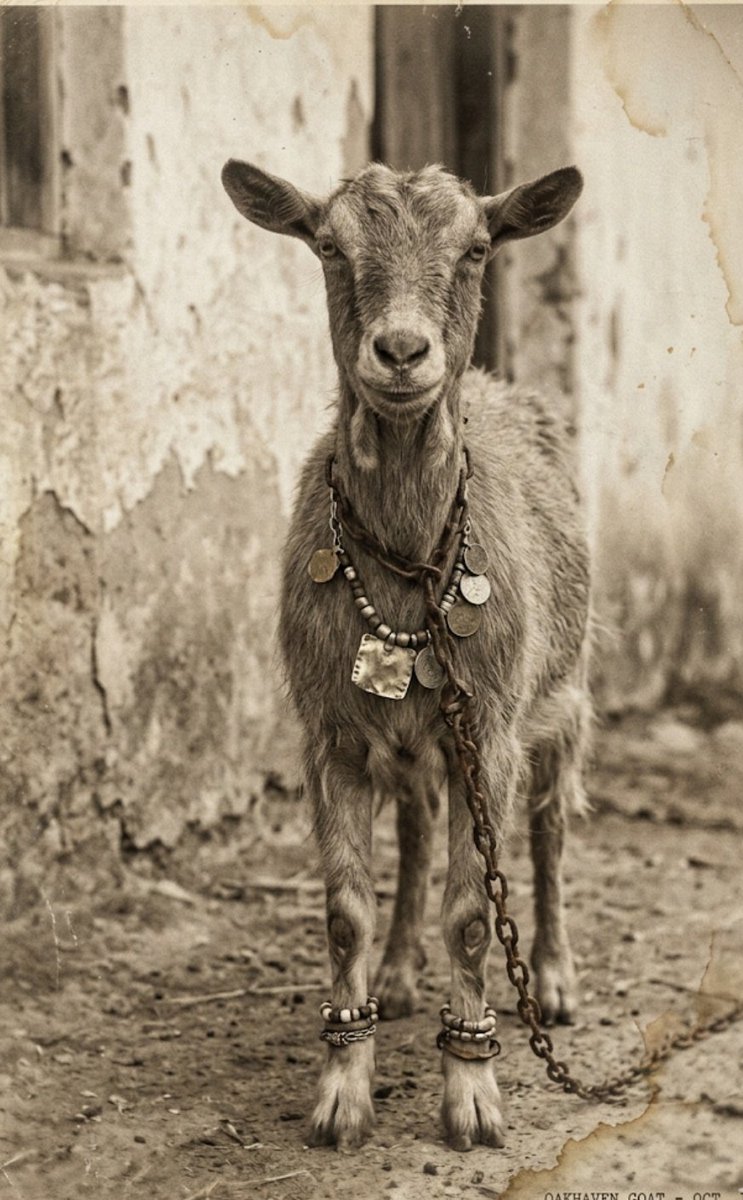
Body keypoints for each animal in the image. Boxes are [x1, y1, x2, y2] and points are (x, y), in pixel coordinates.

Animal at [222, 158, 590, 1151]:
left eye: (476, 248)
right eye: (328, 244)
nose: (399, 352)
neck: (403, 563)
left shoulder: (489, 730)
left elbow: (471, 914)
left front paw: (472, 1100)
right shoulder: (332, 733)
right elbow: (344, 912)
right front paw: (340, 1095)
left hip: (565, 694)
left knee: (550, 826)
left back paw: (553, 978)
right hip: (417, 729)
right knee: (420, 821)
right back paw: (394, 977)